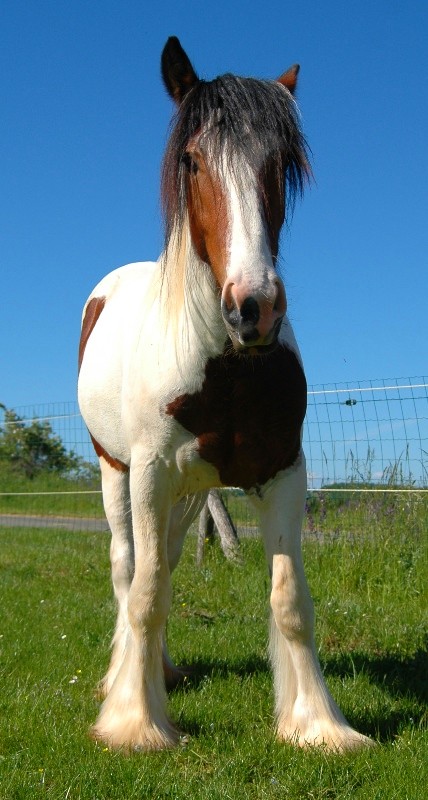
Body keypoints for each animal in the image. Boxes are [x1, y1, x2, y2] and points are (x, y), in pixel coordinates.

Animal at [78, 36, 372, 752]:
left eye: (283, 162)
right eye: (191, 158)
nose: (254, 307)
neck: (228, 367)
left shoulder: (283, 472)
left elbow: (290, 600)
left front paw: (318, 723)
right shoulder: (149, 473)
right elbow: (146, 592)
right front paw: (135, 723)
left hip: (188, 495)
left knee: (164, 559)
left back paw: (161, 670)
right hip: (116, 474)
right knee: (129, 568)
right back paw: (125, 679)